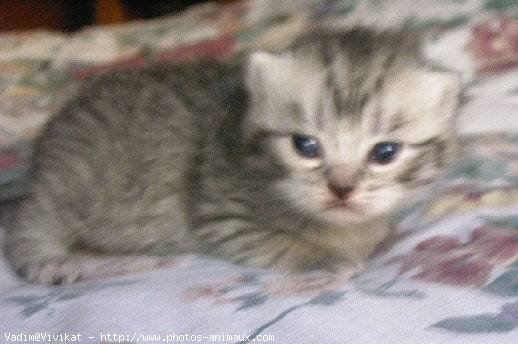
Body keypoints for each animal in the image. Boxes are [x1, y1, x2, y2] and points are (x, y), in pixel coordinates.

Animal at [4, 27, 462, 284]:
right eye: (306, 146)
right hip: (72, 181)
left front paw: (376, 236)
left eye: (385, 152)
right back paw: (48, 261)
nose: (342, 189)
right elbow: (280, 242)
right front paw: (327, 257)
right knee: (30, 222)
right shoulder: (222, 214)